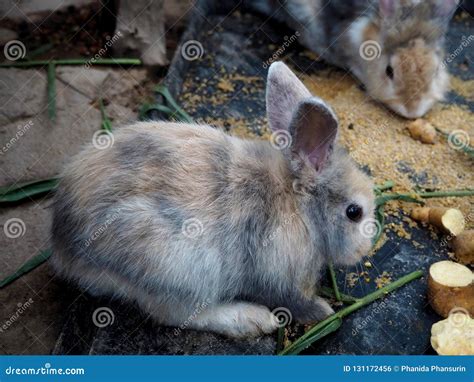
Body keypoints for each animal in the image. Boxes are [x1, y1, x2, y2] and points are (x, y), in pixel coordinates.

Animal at [51, 62, 376, 338]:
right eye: (354, 212)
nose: (365, 249)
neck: (299, 204)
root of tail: (63, 246)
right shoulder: (283, 277)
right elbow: (295, 300)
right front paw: (324, 311)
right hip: (175, 269)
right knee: (175, 314)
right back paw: (253, 320)